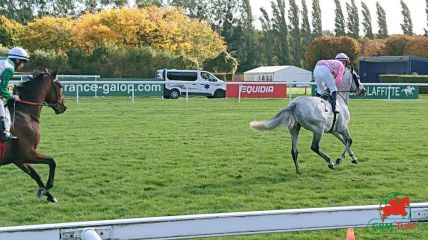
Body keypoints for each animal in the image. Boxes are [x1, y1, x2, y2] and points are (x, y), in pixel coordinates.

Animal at [0, 70, 66, 202]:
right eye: (60, 86)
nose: (64, 106)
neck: (25, 113)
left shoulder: (18, 159)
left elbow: (35, 174)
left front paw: (48, 195)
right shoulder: (27, 153)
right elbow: (52, 161)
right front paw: (47, 188)